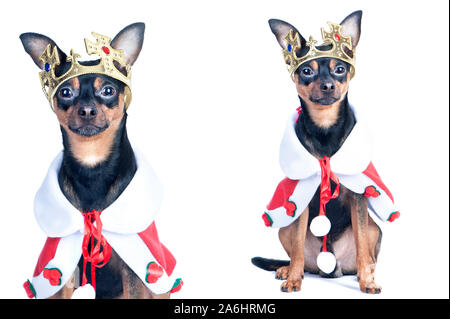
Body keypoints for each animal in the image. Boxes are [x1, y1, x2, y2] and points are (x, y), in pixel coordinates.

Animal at [20, 23, 183, 300]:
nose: (87, 110)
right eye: (66, 92)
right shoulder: (60, 274)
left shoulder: (134, 273)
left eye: (108, 91)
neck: (92, 166)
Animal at [250, 10, 400, 296]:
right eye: (306, 71)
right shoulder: (300, 200)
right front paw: (293, 279)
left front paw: (367, 282)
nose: (328, 85)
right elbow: (298, 246)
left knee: (368, 254)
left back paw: (366, 272)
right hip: (285, 227)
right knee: (298, 257)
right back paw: (287, 269)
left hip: (375, 228)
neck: (325, 128)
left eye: (340, 69)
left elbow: (362, 246)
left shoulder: (359, 198)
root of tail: (332, 269)